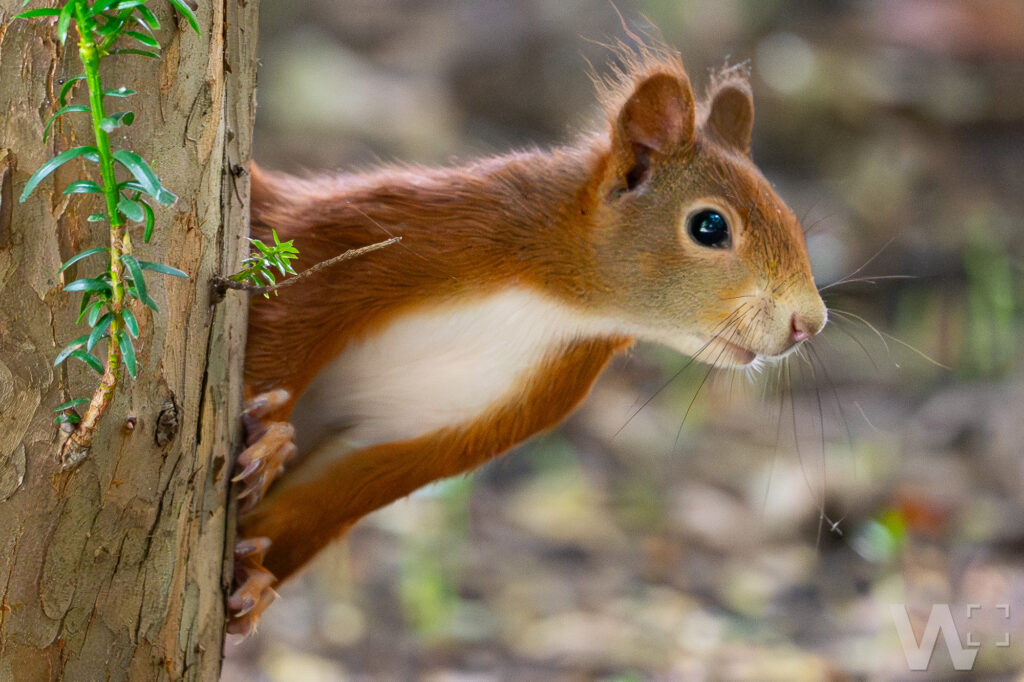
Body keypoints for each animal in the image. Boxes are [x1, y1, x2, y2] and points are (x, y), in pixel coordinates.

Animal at [226, 42, 827, 635]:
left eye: (794, 222)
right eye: (709, 227)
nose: (810, 323)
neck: (556, 306)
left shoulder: (469, 418)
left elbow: (332, 496)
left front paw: (252, 580)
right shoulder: (374, 234)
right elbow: (284, 318)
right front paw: (267, 437)